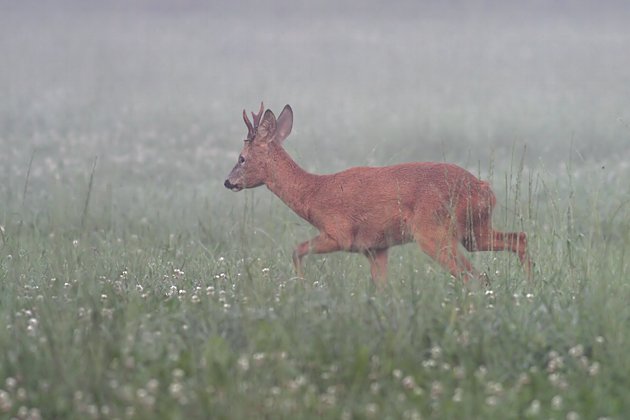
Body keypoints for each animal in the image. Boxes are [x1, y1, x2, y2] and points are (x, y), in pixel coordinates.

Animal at [226, 104, 532, 288]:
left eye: (241, 158)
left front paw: (302, 286)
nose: (228, 182)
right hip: (473, 231)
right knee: (518, 239)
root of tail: (485, 189)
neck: (313, 193)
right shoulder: (375, 248)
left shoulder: (339, 233)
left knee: (475, 276)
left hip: (434, 233)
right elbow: (381, 287)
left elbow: (297, 250)